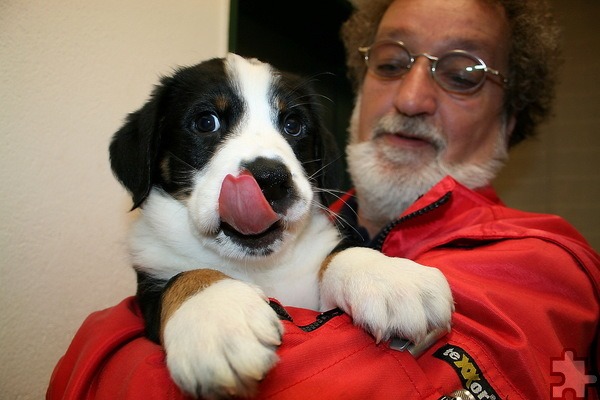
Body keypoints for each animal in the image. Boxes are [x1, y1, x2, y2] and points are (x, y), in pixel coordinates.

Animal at [110, 52, 452, 396]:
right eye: (206, 122)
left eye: (293, 125)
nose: (269, 179)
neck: (261, 267)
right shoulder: (150, 282)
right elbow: (187, 276)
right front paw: (217, 315)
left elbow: (341, 252)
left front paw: (388, 276)